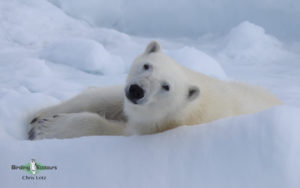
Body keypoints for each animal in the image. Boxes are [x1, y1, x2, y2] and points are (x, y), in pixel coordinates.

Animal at [28, 40, 282, 140]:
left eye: (165, 87)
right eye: (147, 65)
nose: (137, 90)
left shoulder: (159, 125)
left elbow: (115, 130)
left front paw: (47, 128)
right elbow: (105, 98)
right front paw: (37, 116)